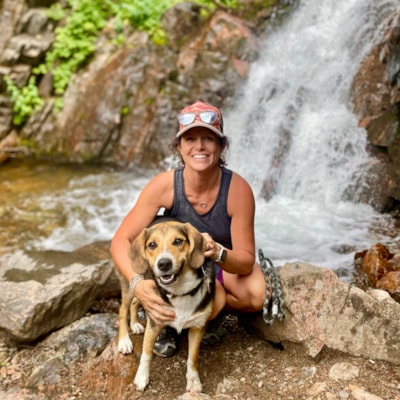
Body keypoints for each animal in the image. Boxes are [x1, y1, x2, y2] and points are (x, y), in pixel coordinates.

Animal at [116, 217, 216, 392]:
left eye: (178, 241)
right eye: (152, 245)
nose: (163, 264)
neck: (179, 291)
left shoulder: (198, 327)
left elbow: (192, 357)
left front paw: (193, 380)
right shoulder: (154, 323)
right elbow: (146, 353)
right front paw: (141, 377)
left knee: (135, 303)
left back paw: (135, 324)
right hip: (130, 284)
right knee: (122, 310)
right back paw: (124, 341)